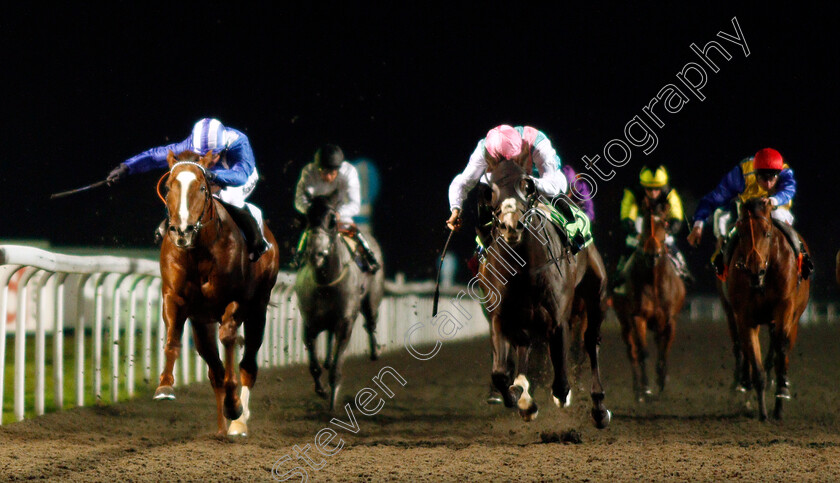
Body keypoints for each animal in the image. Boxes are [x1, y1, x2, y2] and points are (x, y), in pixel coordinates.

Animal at [154, 149, 278, 436]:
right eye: (169, 187)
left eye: (202, 187)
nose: (183, 231)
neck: (198, 251)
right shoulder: (175, 298)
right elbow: (172, 338)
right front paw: (165, 385)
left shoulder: (235, 301)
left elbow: (229, 339)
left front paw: (234, 407)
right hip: (202, 322)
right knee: (215, 368)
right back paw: (223, 427)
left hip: (258, 309)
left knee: (247, 364)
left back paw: (238, 422)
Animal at [294, 193, 386, 412]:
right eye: (307, 219)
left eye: (332, 220)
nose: (315, 254)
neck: (325, 283)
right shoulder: (309, 324)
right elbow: (314, 366)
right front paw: (322, 390)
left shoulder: (345, 324)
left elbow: (337, 367)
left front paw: (332, 402)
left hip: (372, 299)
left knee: (370, 322)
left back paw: (375, 350)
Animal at [480, 161, 612, 430]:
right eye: (491, 191)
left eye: (526, 186)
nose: (511, 225)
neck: (523, 269)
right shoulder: (500, 316)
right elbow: (500, 373)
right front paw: (518, 396)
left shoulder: (558, 319)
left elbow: (561, 380)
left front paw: (559, 397)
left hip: (596, 294)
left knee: (591, 341)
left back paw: (599, 409)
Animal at [612, 195, 684, 402]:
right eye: (645, 224)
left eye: (663, 224)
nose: (652, 254)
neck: (653, 282)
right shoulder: (638, 317)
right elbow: (642, 353)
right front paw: (645, 389)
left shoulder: (669, 319)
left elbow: (664, 351)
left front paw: (662, 379)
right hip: (624, 322)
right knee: (632, 352)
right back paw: (638, 389)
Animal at [724, 199, 812, 422]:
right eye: (742, 233)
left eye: (767, 233)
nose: (755, 270)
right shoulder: (745, 318)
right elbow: (756, 364)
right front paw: (762, 413)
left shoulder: (784, 309)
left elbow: (781, 349)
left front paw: (780, 400)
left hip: (793, 318)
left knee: (783, 347)